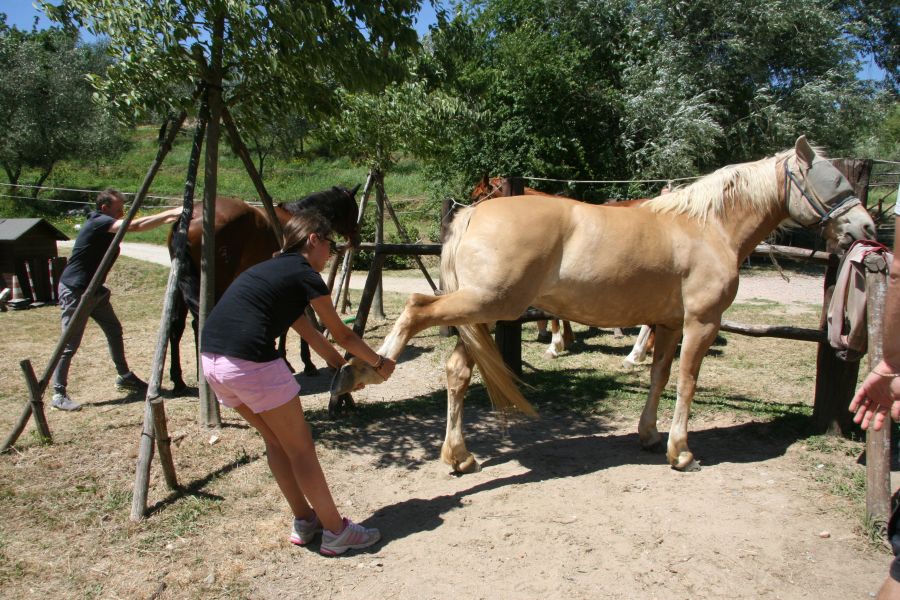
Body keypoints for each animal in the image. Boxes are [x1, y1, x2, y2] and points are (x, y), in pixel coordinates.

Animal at [171, 185, 360, 392]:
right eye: (353, 210)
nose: (357, 238)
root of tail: (190, 218)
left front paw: (286, 360)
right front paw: (307, 364)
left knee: (176, 325)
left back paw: (179, 381)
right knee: (198, 322)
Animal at [334, 137, 876, 474]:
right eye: (832, 183)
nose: (867, 228)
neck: (707, 227)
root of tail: (473, 215)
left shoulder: (669, 324)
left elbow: (659, 376)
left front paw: (650, 435)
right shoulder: (701, 323)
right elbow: (687, 382)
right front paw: (681, 451)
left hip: (480, 314)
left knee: (456, 373)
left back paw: (458, 456)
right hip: (483, 303)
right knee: (416, 309)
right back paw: (359, 373)